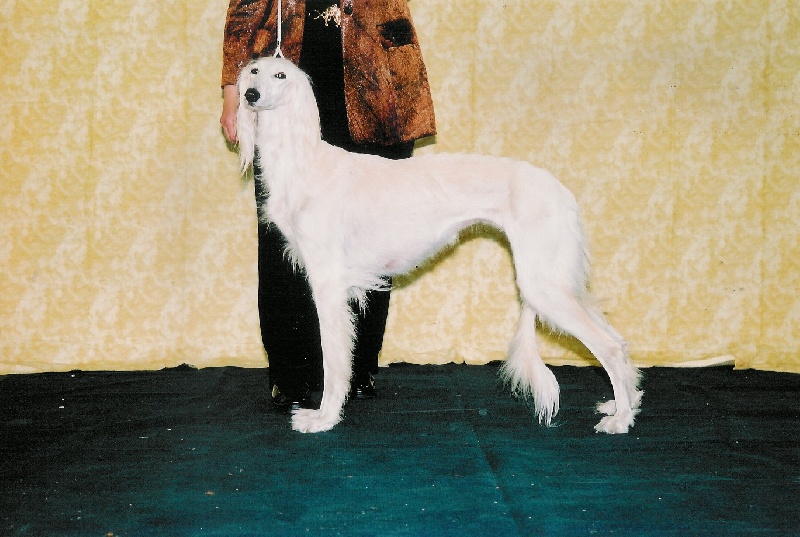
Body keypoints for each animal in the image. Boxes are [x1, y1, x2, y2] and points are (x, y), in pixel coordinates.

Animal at [236, 56, 642, 434]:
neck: (303, 162)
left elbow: (334, 360)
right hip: (556, 279)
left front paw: (323, 418)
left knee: (608, 346)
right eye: (254, 71)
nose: (249, 95)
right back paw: (623, 402)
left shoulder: (328, 284)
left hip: (544, 284)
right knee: (618, 341)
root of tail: (560, 190)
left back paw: (620, 419)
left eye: (280, 75)